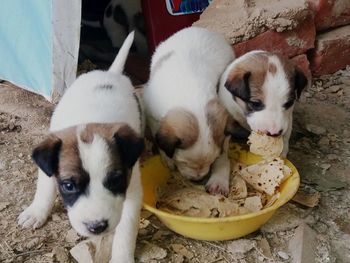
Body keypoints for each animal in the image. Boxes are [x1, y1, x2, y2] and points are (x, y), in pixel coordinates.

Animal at [17, 32, 144, 262]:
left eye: (115, 181)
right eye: (68, 186)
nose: (96, 227)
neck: (90, 120)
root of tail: (109, 73)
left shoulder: (132, 190)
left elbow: (126, 231)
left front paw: (122, 257)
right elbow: (45, 188)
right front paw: (37, 212)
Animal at [142, 27, 235, 196]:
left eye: (211, 161)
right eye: (183, 162)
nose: (198, 179)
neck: (192, 95)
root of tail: (200, 28)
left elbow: (223, 151)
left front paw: (219, 176)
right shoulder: (152, 116)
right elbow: (158, 138)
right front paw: (167, 159)